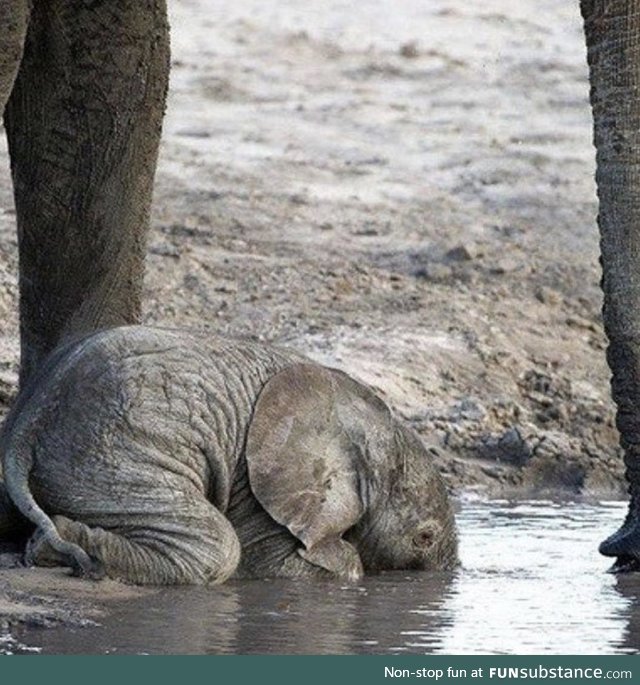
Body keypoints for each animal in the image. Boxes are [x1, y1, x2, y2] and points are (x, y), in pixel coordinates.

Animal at [0, 324, 460, 584]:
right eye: (423, 538)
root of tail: (29, 421)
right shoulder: (260, 485)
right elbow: (284, 564)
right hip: (115, 455)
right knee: (217, 547)